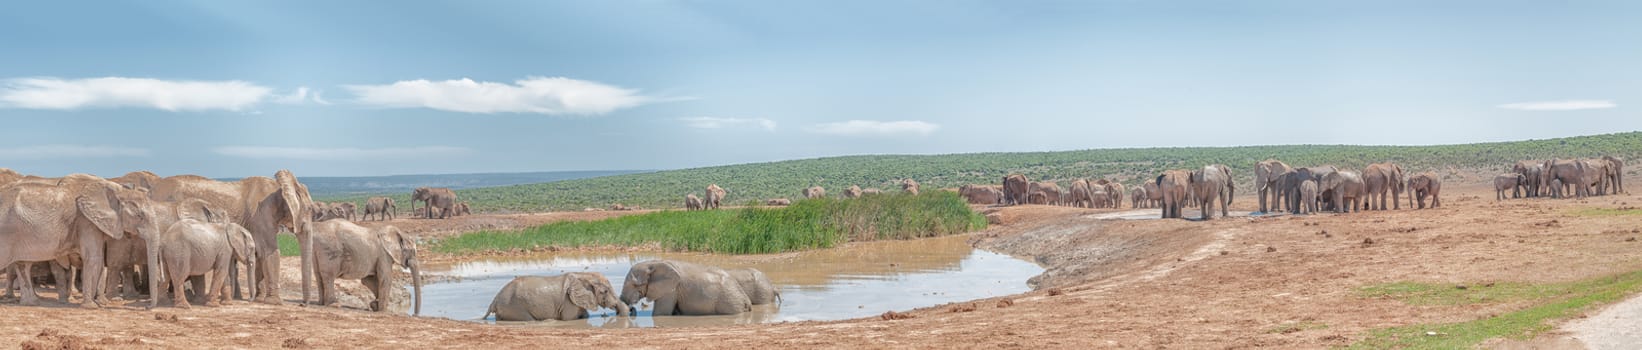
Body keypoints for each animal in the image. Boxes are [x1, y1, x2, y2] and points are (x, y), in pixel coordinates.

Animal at [0, 174, 161, 305]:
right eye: (140, 216)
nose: (148, 307)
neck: (116, 189)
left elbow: (99, 260)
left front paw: (98, 303)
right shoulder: (86, 222)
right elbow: (94, 257)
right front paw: (91, 306)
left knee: (23, 264)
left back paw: (32, 302)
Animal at [482, 272, 630, 322]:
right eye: (605, 291)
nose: (616, 312)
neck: (584, 275)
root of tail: (494, 301)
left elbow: (584, 315)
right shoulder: (568, 301)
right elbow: (569, 319)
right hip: (514, 306)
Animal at [620, 257, 755, 315]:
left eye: (635, 284)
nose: (632, 308)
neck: (654, 262)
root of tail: (747, 301)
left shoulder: (671, 289)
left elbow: (660, 313)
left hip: (729, 302)